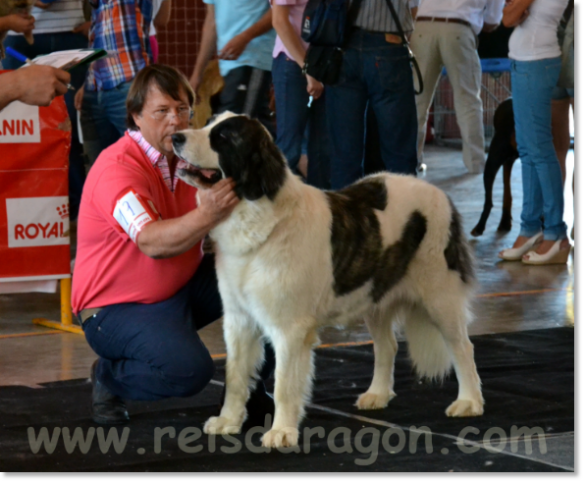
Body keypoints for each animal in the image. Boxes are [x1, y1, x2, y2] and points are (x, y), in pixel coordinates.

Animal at [171, 113, 482, 450]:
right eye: (209, 124)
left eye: (223, 137)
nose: (175, 137)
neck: (254, 213)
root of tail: (439, 194)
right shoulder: (238, 320)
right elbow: (235, 376)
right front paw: (227, 421)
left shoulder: (289, 328)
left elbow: (283, 384)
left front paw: (281, 432)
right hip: (374, 295)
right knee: (386, 346)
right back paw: (377, 394)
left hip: (440, 296)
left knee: (463, 347)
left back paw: (469, 402)